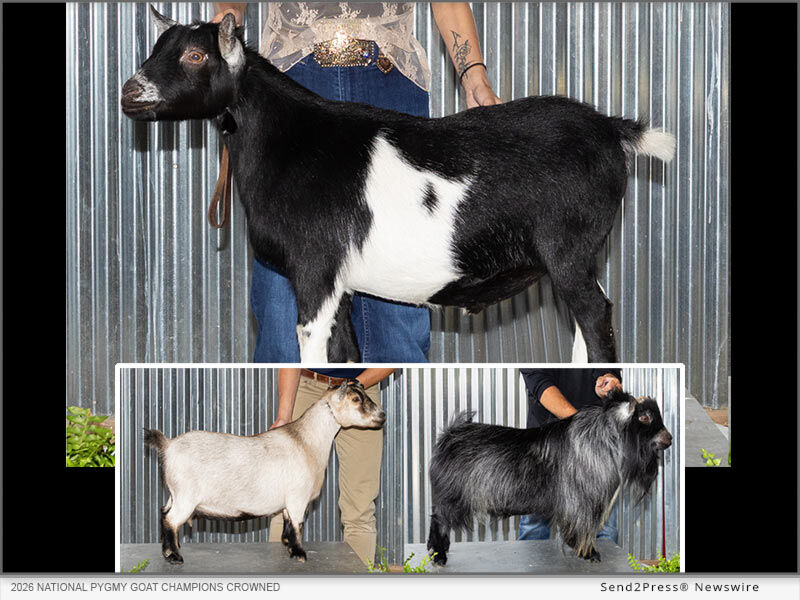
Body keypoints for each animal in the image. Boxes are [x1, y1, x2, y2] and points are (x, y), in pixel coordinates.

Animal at [121, 8, 676, 363]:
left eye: (196, 56)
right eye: (157, 48)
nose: (130, 92)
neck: (291, 141)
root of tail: (612, 128)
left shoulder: (315, 270)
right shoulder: (342, 284)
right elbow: (341, 358)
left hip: (568, 249)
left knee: (596, 316)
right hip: (577, 259)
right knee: (588, 319)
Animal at [143, 381, 385, 564]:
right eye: (356, 400)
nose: (382, 415)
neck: (307, 441)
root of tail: (168, 445)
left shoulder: (289, 501)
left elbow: (288, 522)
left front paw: (288, 545)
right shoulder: (298, 497)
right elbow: (297, 524)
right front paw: (299, 553)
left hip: (175, 493)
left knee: (164, 512)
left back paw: (170, 550)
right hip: (186, 497)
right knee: (171, 520)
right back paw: (174, 556)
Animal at [426, 389, 672, 565]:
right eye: (644, 417)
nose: (669, 438)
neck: (600, 437)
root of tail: (449, 435)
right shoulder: (582, 501)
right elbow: (582, 527)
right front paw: (589, 553)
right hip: (453, 496)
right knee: (438, 520)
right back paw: (439, 556)